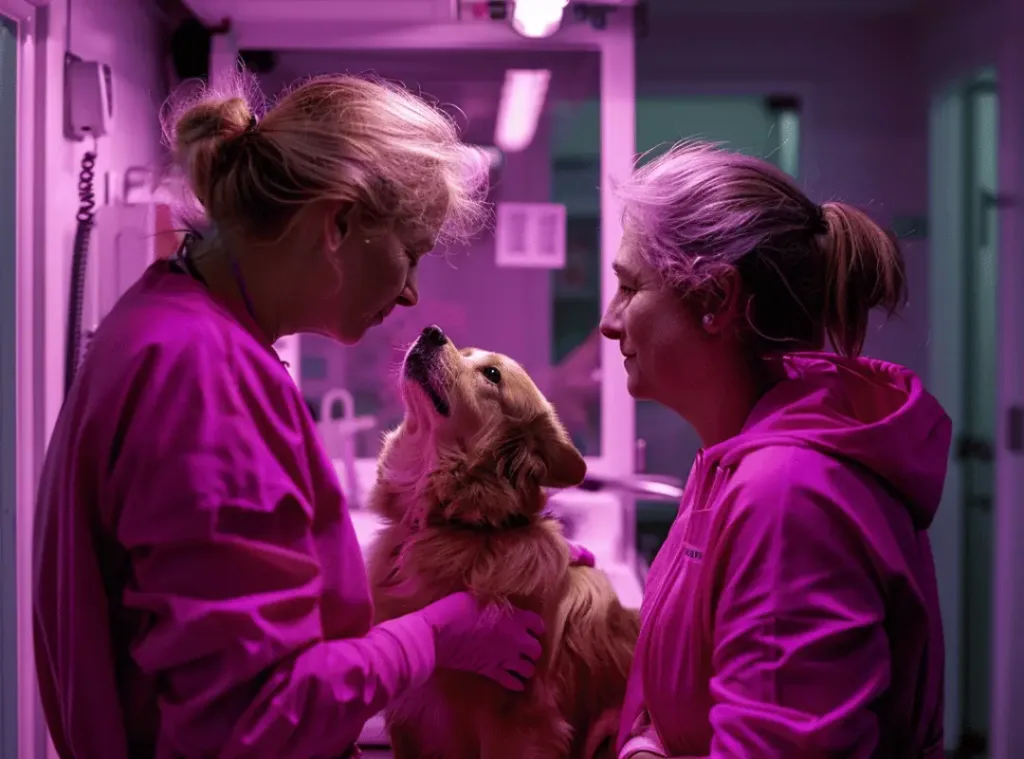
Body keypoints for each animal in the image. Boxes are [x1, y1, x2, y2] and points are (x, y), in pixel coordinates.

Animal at [368, 323, 638, 757]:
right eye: (465, 352)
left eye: (492, 375)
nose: (431, 331)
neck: (459, 525)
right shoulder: (407, 718)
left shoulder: (518, 723)